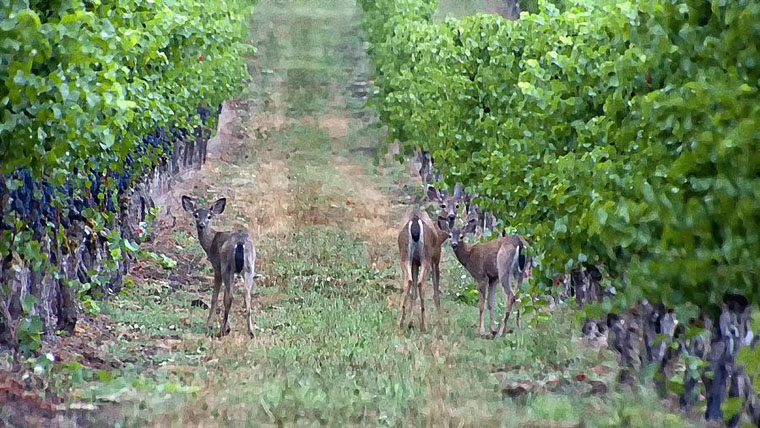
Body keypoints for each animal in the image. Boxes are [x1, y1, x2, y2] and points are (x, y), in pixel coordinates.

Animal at [182, 195, 258, 338]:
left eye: (209, 216)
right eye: (196, 215)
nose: (201, 225)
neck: (211, 242)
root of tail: (240, 243)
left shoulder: (217, 266)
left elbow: (214, 297)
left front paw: (209, 325)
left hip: (227, 266)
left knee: (229, 296)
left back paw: (222, 330)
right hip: (249, 266)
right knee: (247, 294)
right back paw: (251, 332)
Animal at [398, 184, 464, 332]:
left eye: (457, 205)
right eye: (443, 205)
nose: (451, 216)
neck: (439, 235)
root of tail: (415, 221)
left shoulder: (415, 262)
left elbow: (414, 293)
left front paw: (411, 322)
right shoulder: (436, 259)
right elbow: (436, 293)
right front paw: (441, 323)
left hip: (404, 255)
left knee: (408, 282)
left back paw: (401, 322)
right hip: (426, 257)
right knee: (421, 283)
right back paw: (424, 325)